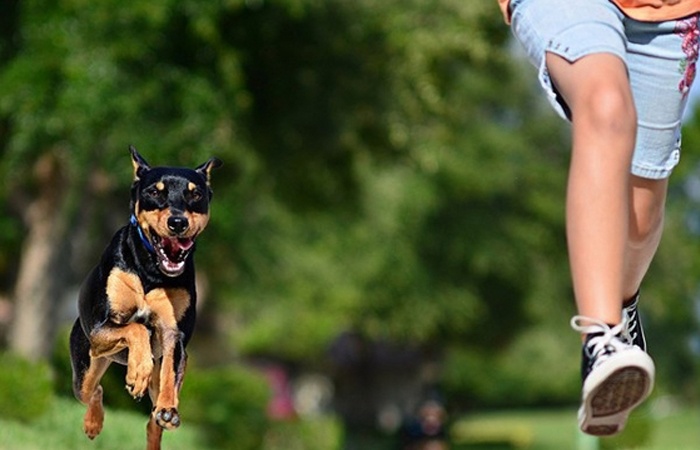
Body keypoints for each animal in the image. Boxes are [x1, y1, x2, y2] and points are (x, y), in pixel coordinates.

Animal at [68, 146, 221, 448]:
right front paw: (136, 371)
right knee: (94, 390)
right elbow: (136, 328)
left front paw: (166, 406)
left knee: (153, 418)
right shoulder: (102, 327)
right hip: (86, 363)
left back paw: (162, 416)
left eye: (195, 194)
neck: (152, 270)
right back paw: (93, 423)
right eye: (154, 191)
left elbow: (169, 368)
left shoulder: (174, 333)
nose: (178, 222)